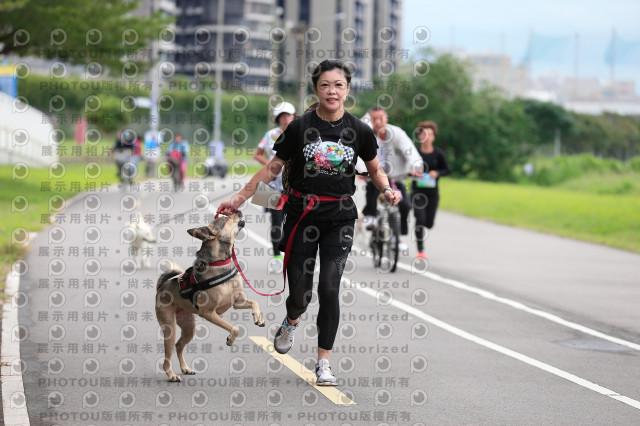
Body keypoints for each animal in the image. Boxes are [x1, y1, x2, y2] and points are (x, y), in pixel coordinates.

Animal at [155, 211, 264, 382]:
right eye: (226, 218)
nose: (238, 210)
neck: (221, 262)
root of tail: (162, 285)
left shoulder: (237, 302)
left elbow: (255, 302)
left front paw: (258, 317)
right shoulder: (209, 313)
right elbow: (235, 328)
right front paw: (230, 339)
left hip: (189, 327)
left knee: (179, 346)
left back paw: (185, 368)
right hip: (169, 327)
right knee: (168, 353)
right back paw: (171, 374)